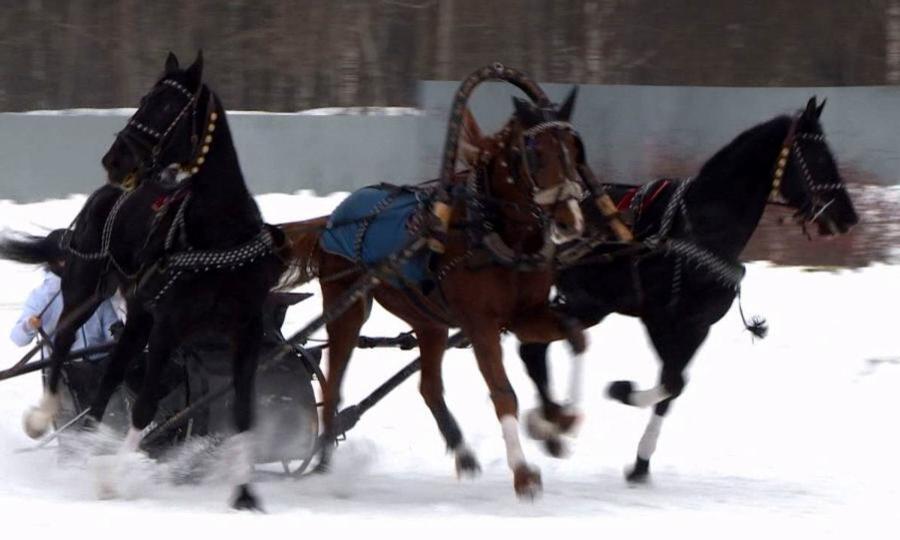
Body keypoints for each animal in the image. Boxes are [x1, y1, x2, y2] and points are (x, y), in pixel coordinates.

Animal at [516, 99, 856, 484]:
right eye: (818, 157)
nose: (849, 216)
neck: (698, 228)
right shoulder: (659, 318)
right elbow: (671, 381)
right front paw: (622, 390)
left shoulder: (696, 326)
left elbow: (674, 385)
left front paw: (640, 463)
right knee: (531, 348)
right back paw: (549, 425)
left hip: (590, 304)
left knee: (532, 349)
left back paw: (549, 426)